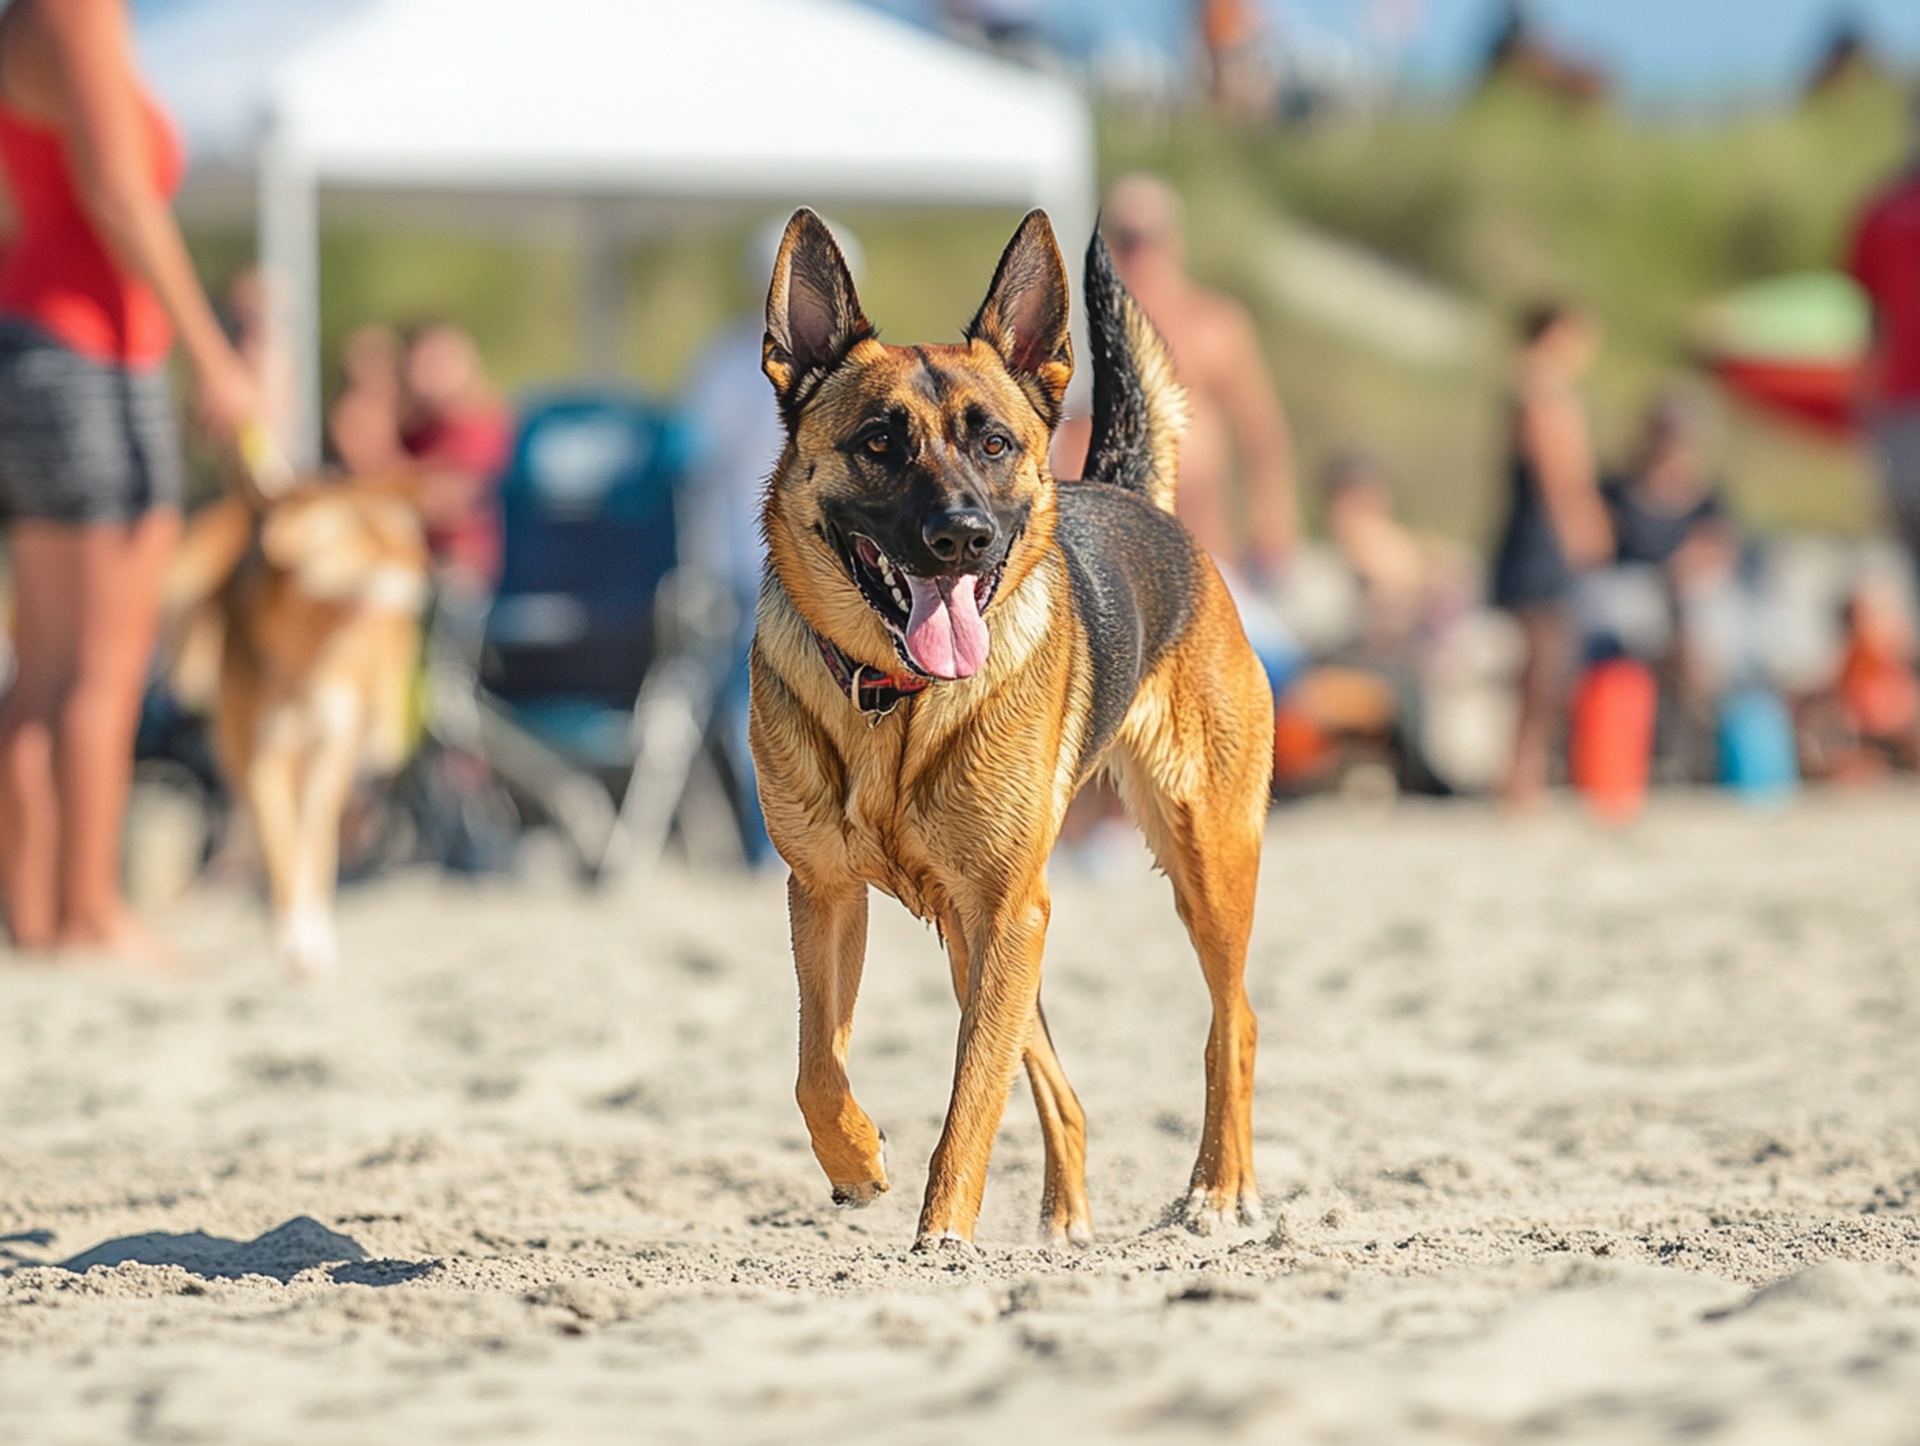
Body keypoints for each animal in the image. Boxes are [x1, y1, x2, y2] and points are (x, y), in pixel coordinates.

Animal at [168, 480, 428, 975]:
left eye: (402, 541)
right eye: (373, 540)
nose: (425, 568)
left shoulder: (332, 752)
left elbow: (314, 845)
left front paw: (313, 935)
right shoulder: (261, 758)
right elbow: (282, 844)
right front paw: (292, 941)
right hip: (237, 750)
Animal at [748, 208, 1274, 1244]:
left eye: (993, 444)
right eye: (879, 442)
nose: (963, 537)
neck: (898, 702)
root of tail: (1129, 494)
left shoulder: (1006, 909)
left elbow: (972, 1098)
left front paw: (942, 1238)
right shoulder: (825, 894)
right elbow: (816, 1067)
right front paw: (857, 1163)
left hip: (1200, 861)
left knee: (1233, 1023)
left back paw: (1218, 1188)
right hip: (979, 933)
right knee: (1063, 1091)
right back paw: (1066, 1221)